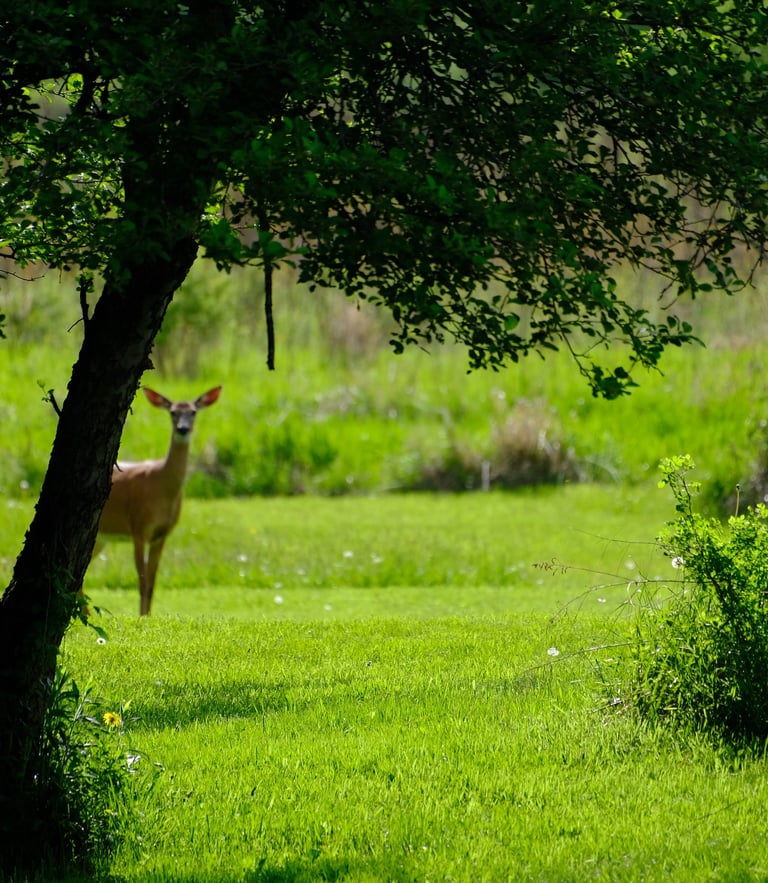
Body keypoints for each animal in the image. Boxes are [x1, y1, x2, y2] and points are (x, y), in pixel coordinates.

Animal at [91, 385, 222, 616]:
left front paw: (148, 615)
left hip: (100, 539)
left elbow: (152, 584)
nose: (182, 429)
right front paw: (142, 617)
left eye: (193, 412)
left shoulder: (162, 535)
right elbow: (142, 582)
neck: (163, 488)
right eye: (173, 413)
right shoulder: (139, 527)